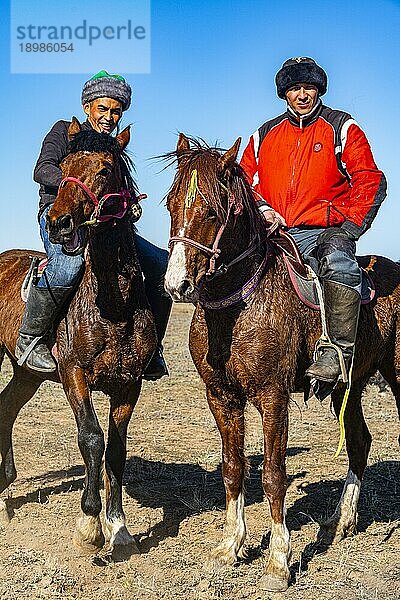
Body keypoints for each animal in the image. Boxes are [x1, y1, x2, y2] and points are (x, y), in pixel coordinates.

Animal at [0, 118, 156, 556]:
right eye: (63, 166)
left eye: (104, 169)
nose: (59, 223)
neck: (113, 306)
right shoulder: (74, 375)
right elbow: (92, 438)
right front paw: (90, 523)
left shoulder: (129, 384)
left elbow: (116, 450)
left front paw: (119, 527)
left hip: (27, 373)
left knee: (6, 406)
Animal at [163, 135, 400, 592]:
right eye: (170, 204)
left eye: (211, 211)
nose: (176, 284)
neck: (239, 305)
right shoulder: (221, 398)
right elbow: (233, 468)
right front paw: (230, 546)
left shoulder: (273, 398)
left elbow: (274, 475)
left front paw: (277, 560)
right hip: (349, 387)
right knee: (359, 442)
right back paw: (341, 520)